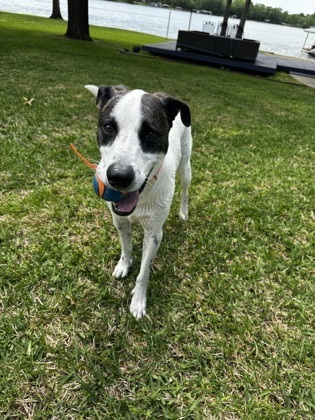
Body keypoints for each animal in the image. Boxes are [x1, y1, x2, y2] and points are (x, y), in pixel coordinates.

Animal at [84, 85, 193, 318]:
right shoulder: (119, 220)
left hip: (186, 165)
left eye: (150, 133)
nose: (119, 176)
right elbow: (126, 247)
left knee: (186, 189)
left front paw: (138, 301)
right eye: (108, 127)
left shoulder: (153, 234)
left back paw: (183, 211)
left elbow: (144, 272)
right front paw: (124, 265)